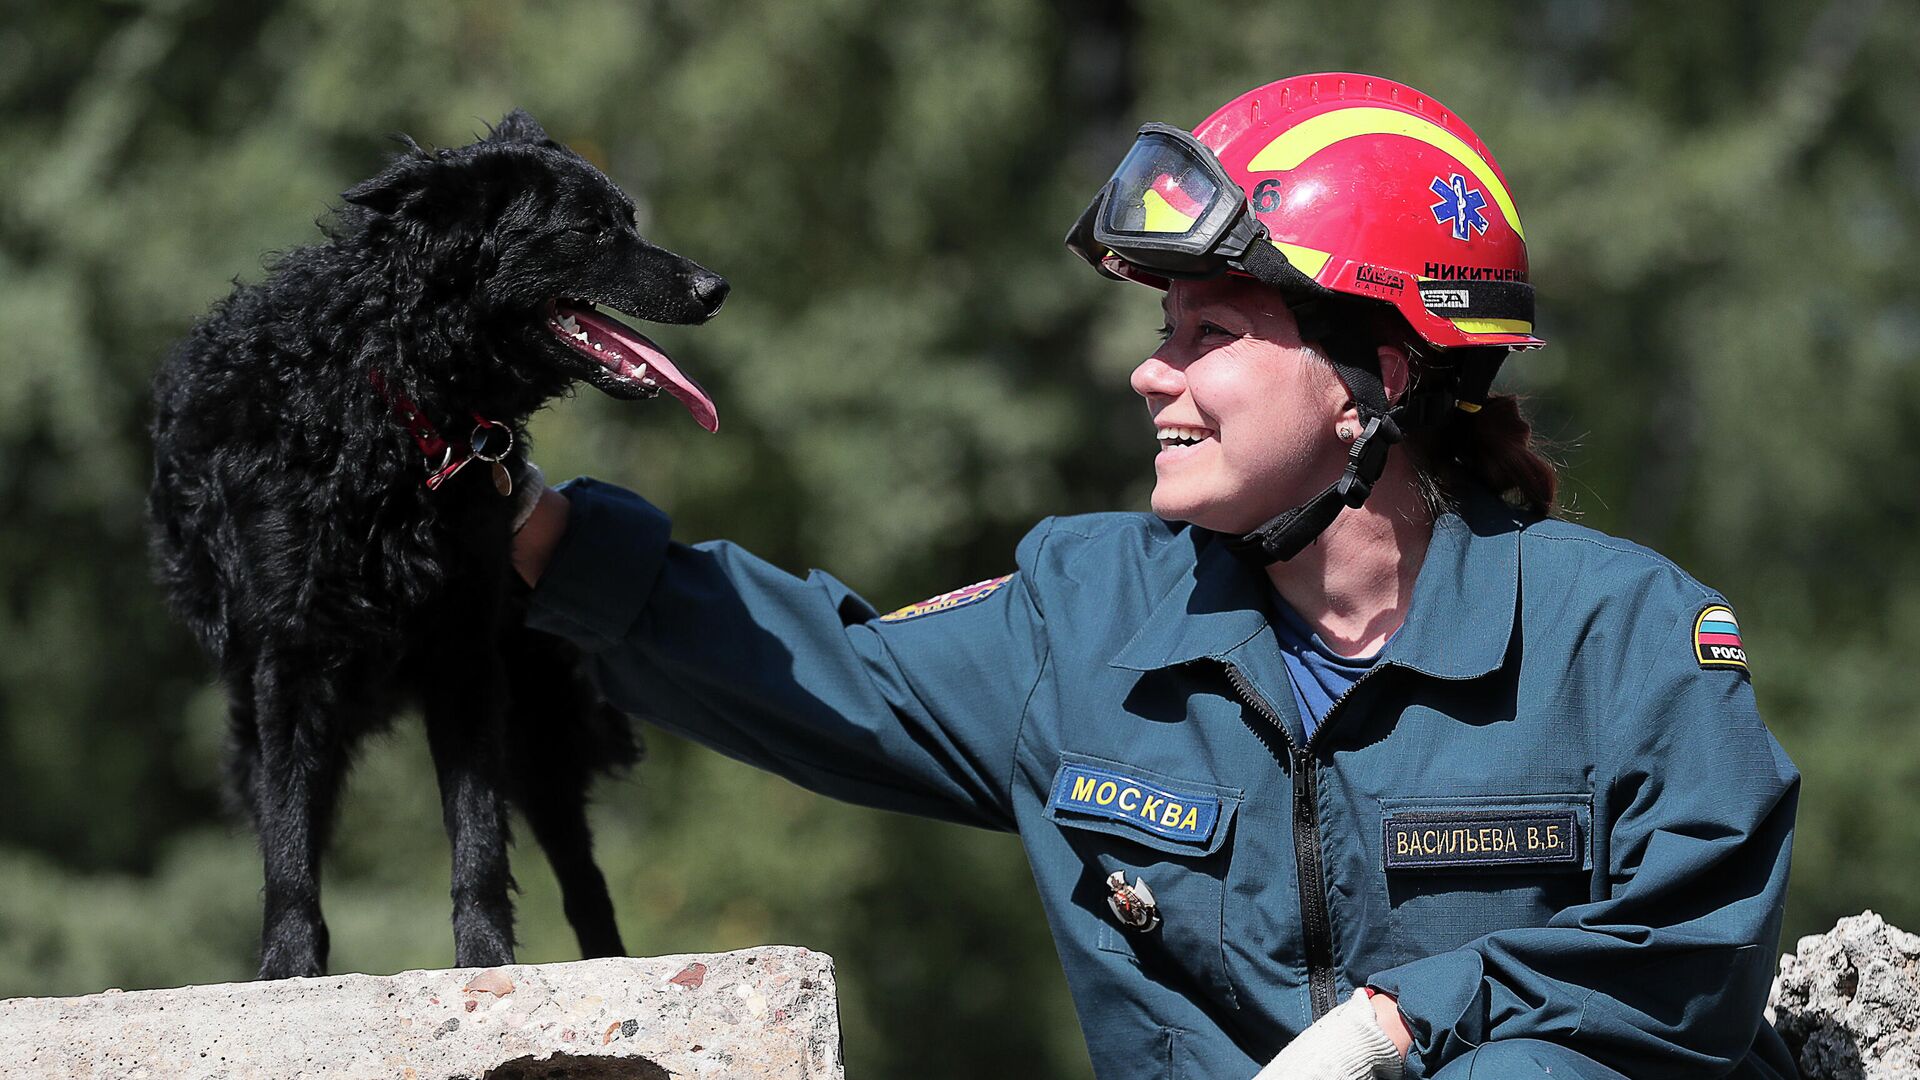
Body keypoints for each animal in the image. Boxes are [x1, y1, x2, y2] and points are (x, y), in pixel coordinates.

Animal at [145, 109, 721, 976]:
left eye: (628, 220)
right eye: (592, 229)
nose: (715, 288)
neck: (396, 406)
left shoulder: (466, 652)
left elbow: (477, 834)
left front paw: (485, 962)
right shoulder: (290, 659)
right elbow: (289, 840)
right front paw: (288, 969)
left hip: (537, 726)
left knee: (583, 880)